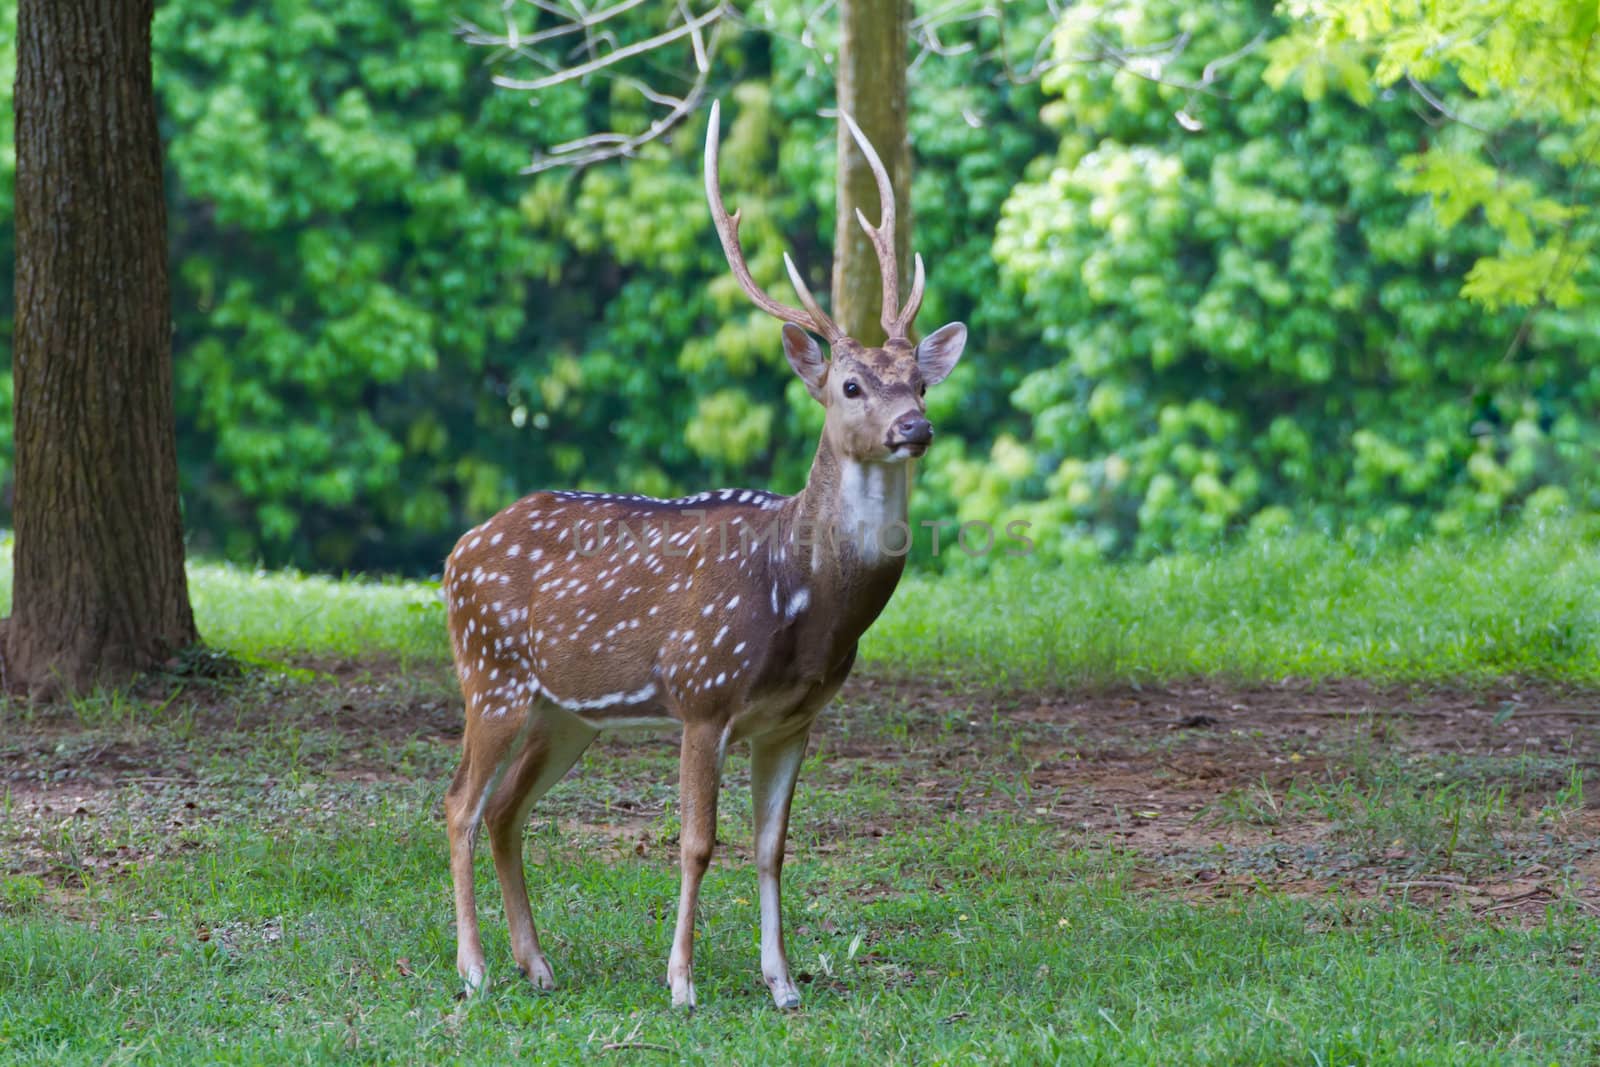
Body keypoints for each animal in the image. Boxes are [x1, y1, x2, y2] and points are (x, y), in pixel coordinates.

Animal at [438, 99, 960, 1011]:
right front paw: (680, 982)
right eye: (851, 384)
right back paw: (474, 968)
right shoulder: (702, 692)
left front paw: (783, 983)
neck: (806, 605)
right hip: (490, 670)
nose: (914, 427)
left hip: (565, 712)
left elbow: (771, 846)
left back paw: (537, 963)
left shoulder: (793, 718)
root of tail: (455, 551)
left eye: (920, 381)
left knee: (506, 811)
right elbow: (696, 841)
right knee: (461, 802)